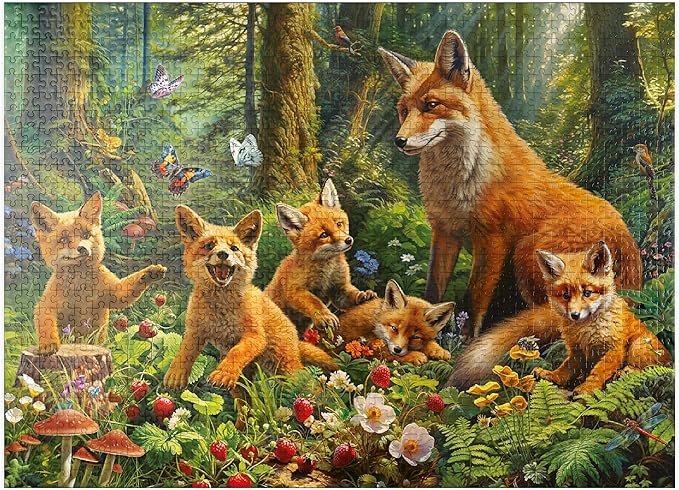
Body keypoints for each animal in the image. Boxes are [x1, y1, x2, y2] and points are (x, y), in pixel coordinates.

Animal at [30, 192, 166, 354]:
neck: (81, 289)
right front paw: (48, 345)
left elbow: (129, 287)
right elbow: (46, 324)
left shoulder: (114, 294)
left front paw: (151, 272)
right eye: (63, 240)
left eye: (85, 235)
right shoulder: (46, 304)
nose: (82, 248)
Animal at [163, 206, 336, 391]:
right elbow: (184, 351)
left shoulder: (255, 335)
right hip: (243, 383)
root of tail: (296, 339)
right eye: (209, 245)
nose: (223, 254)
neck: (220, 310)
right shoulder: (196, 331)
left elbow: (237, 352)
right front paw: (176, 374)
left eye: (234, 248)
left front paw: (223, 373)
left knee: (312, 386)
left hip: (289, 372)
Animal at [265, 179, 377, 333]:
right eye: (324, 235)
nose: (348, 240)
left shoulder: (338, 289)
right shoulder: (295, 289)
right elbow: (314, 302)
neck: (326, 271)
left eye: (339, 224)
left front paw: (363, 295)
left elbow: (350, 295)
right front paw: (325, 316)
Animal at [378, 31, 642, 337]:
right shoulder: (444, 231)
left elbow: (472, 302)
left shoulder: (492, 239)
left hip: (525, 254)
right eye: (403, 110)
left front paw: (461, 340)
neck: (458, 185)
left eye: (431, 105)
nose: (399, 141)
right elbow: (433, 290)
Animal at [447, 241, 671, 393]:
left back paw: (629, 371)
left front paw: (587, 388)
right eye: (565, 295)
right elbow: (566, 369)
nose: (574, 315)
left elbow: (598, 371)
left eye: (587, 293)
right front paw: (553, 377)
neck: (585, 331)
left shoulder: (614, 349)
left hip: (639, 346)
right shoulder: (577, 351)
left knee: (656, 368)